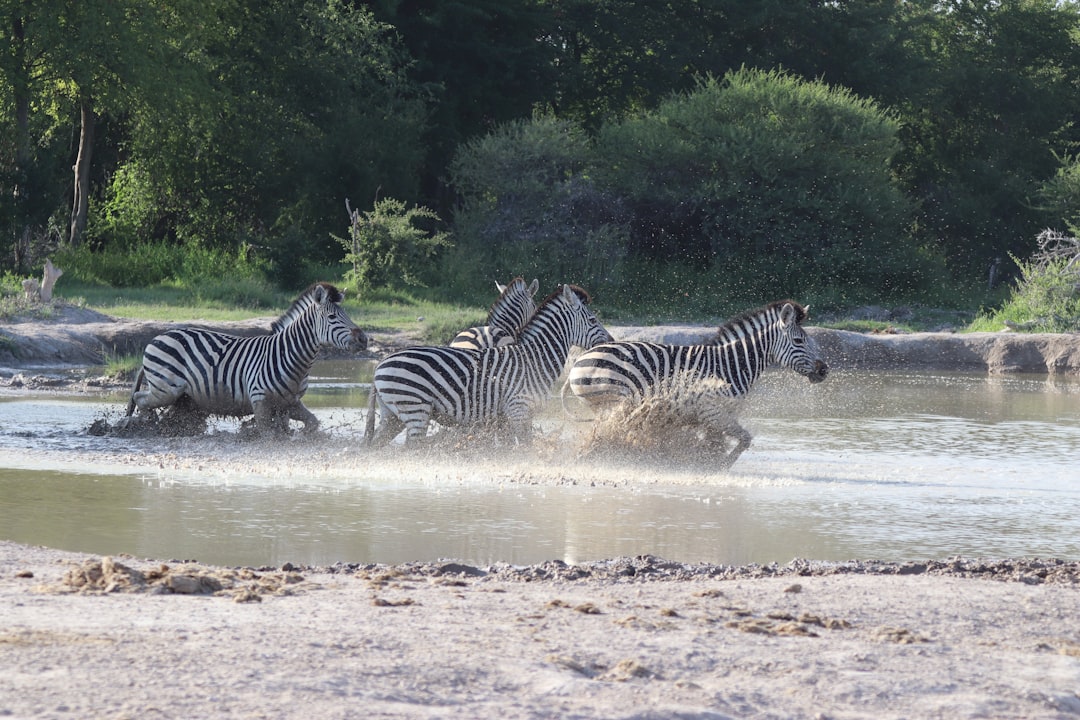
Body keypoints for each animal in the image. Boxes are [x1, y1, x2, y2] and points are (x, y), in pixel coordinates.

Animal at [126, 284, 367, 436]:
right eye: (332, 317)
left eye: (346, 314)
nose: (364, 339)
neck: (290, 357)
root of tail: (158, 337)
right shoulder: (260, 402)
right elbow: (269, 437)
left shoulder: (290, 403)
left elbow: (312, 424)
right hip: (165, 390)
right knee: (140, 399)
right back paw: (146, 427)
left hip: (184, 397)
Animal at [365, 282, 613, 444]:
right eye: (593, 320)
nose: (611, 340)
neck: (534, 359)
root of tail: (380, 364)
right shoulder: (518, 410)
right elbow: (526, 450)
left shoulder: (506, 418)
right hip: (415, 409)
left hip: (392, 415)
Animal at [565, 302, 825, 464]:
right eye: (799, 341)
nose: (824, 370)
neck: (732, 365)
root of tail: (581, 359)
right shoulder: (711, 410)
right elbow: (744, 439)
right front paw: (719, 466)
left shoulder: (716, 416)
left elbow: (718, 443)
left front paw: (704, 463)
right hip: (615, 401)